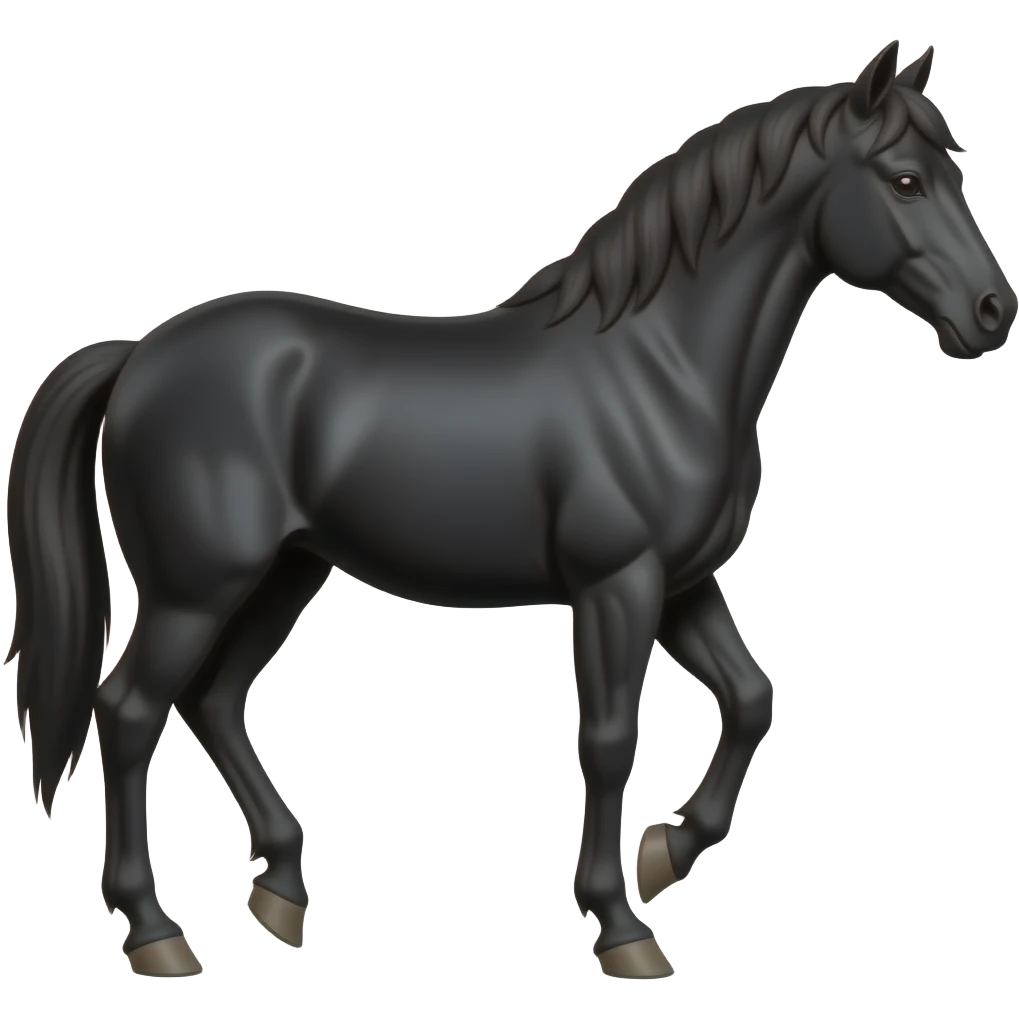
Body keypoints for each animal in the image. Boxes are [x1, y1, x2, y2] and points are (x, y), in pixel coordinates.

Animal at [4, 39, 1015, 981]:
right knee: (129, 711)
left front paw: (666, 851)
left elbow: (751, 698)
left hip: (286, 572)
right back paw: (156, 932)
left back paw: (280, 889)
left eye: (955, 170)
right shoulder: (617, 586)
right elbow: (607, 741)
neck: (661, 368)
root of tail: (140, 354)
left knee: (210, 700)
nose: (992, 312)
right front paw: (622, 924)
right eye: (906, 179)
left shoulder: (682, 585)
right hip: (196, 589)